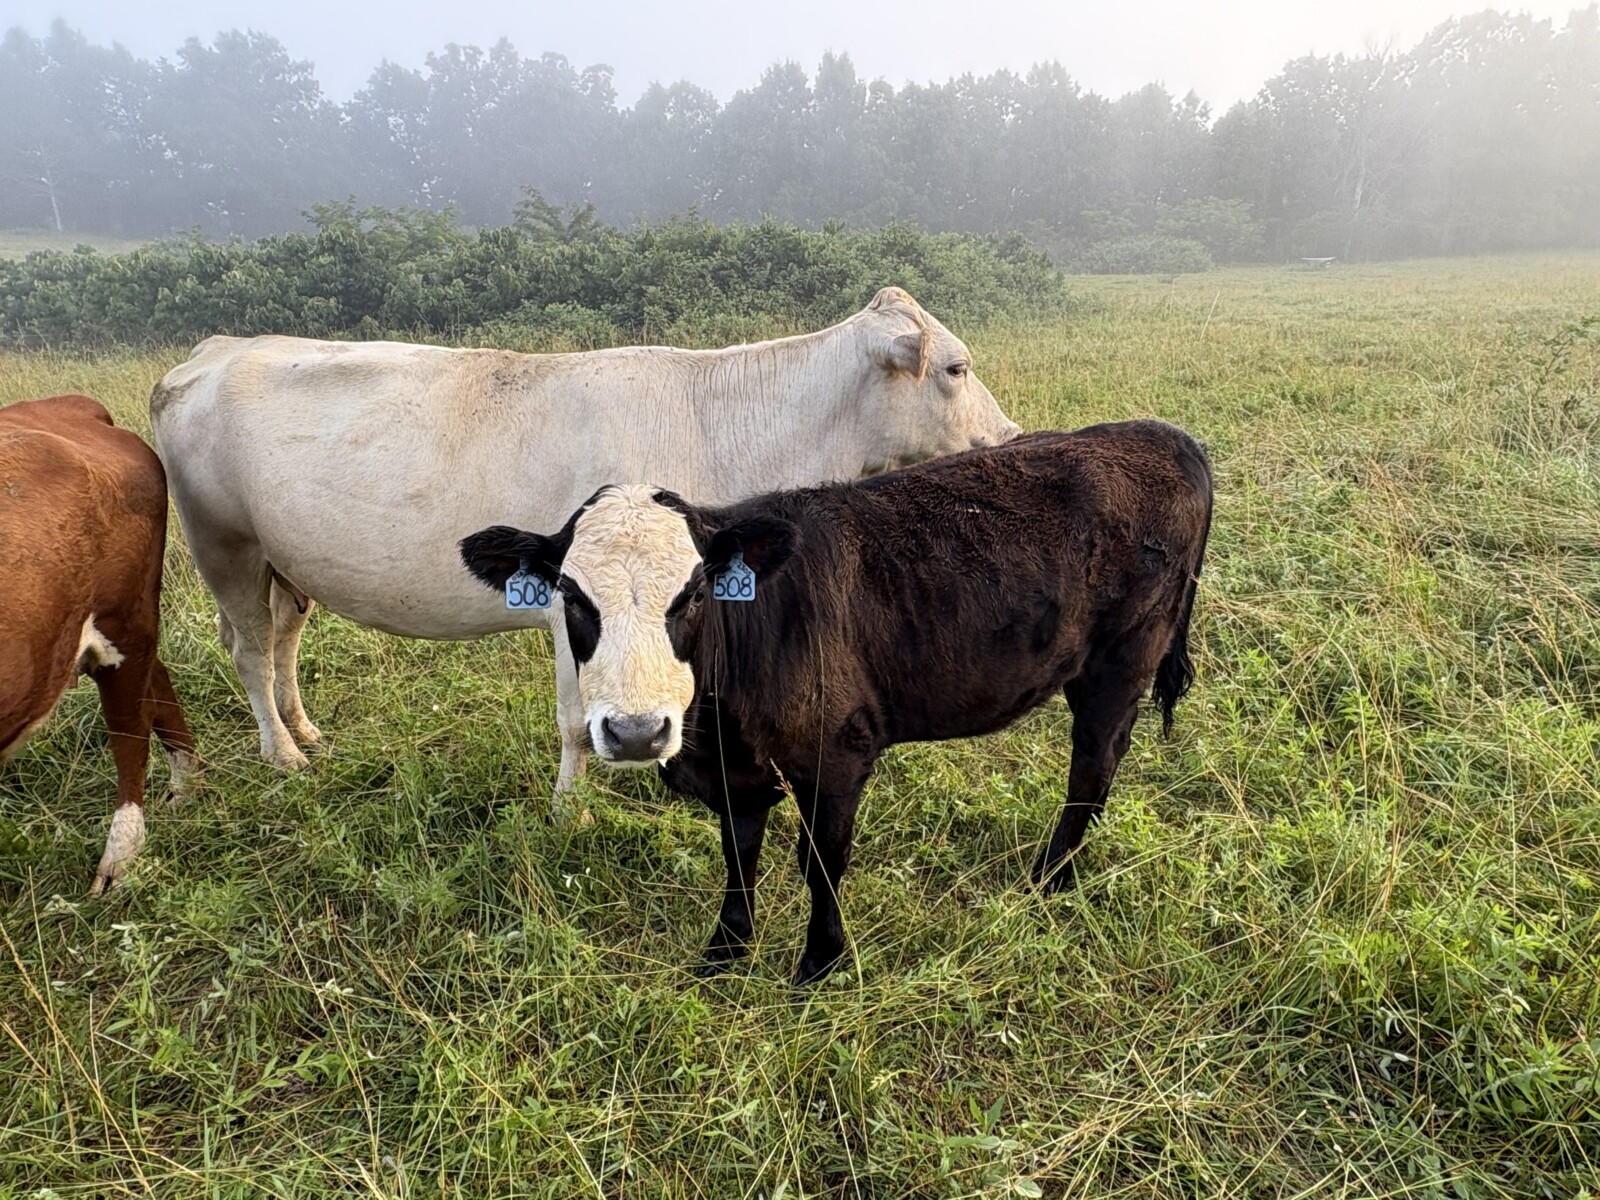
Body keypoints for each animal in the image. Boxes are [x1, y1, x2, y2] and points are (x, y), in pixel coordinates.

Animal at [1, 395, 199, 896]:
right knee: (158, 686)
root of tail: (65, 406)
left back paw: (118, 860)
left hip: (123, 621)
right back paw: (186, 785)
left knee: (130, 727)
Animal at [150, 288, 1019, 813]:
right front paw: (570, 813)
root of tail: (215, 347)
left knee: (283, 639)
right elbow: (577, 720)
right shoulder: (572, 609)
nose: (1013, 438)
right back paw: (282, 756)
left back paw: (307, 733)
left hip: (284, 564)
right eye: (957, 367)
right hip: (223, 545)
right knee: (250, 650)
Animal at [460, 421, 1213, 984]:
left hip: (1120, 661)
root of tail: (1160, 433)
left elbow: (821, 859)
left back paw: (1050, 879)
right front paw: (725, 951)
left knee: (1094, 763)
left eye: (695, 593)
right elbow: (740, 854)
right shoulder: (735, 771)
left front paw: (819, 963)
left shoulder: (838, 755)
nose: (639, 732)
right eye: (571, 595)